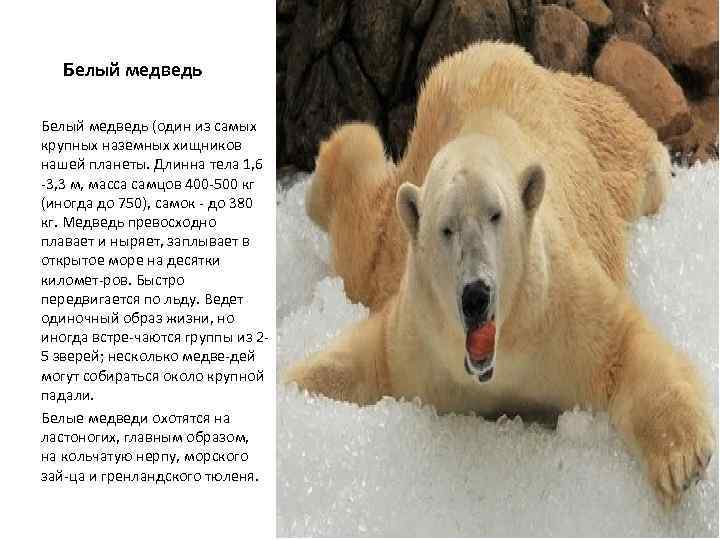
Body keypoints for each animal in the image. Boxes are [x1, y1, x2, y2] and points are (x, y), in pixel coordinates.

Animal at [284, 41, 714, 506]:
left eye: (496, 214)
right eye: (446, 228)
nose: (475, 294)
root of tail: (491, 51)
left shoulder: (564, 309)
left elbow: (624, 348)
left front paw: (682, 462)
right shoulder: (419, 340)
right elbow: (363, 359)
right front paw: (292, 388)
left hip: (604, 145)